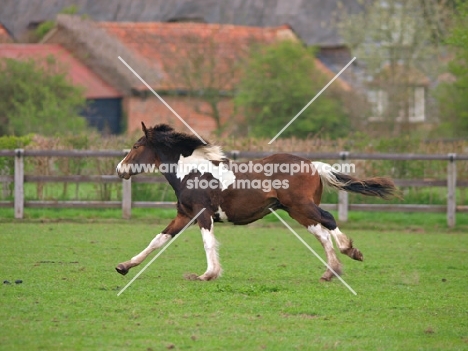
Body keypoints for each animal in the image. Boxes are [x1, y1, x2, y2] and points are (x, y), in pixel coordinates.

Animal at [115, 122, 396, 282]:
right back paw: (330, 272)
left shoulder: (202, 214)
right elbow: (158, 240)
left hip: (302, 206)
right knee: (322, 233)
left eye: (136, 146)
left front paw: (208, 274)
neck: (192, 171)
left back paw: (350, 251)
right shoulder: (184, 215)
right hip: (297, 211)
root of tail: (313, 165)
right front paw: (124, 266)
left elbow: (208, 243)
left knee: (329, 220)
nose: (119, 169)